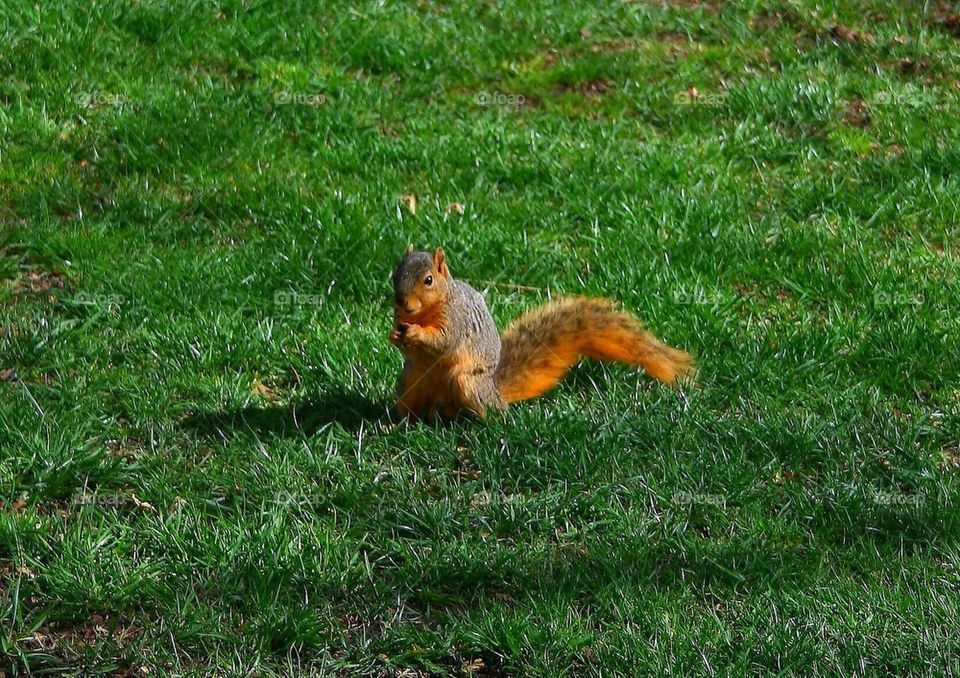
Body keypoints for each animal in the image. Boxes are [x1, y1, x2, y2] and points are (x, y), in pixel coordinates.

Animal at [389, 245, 695, 420]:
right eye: (395, 274)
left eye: (428, 280)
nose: (402, 301)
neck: (424, 311)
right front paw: (394, 335)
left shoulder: (456, 319)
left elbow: (444, 340)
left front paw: (416, 334)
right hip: (411, 383)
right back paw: (398, 424)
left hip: (468, 384)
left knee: (494, 411)